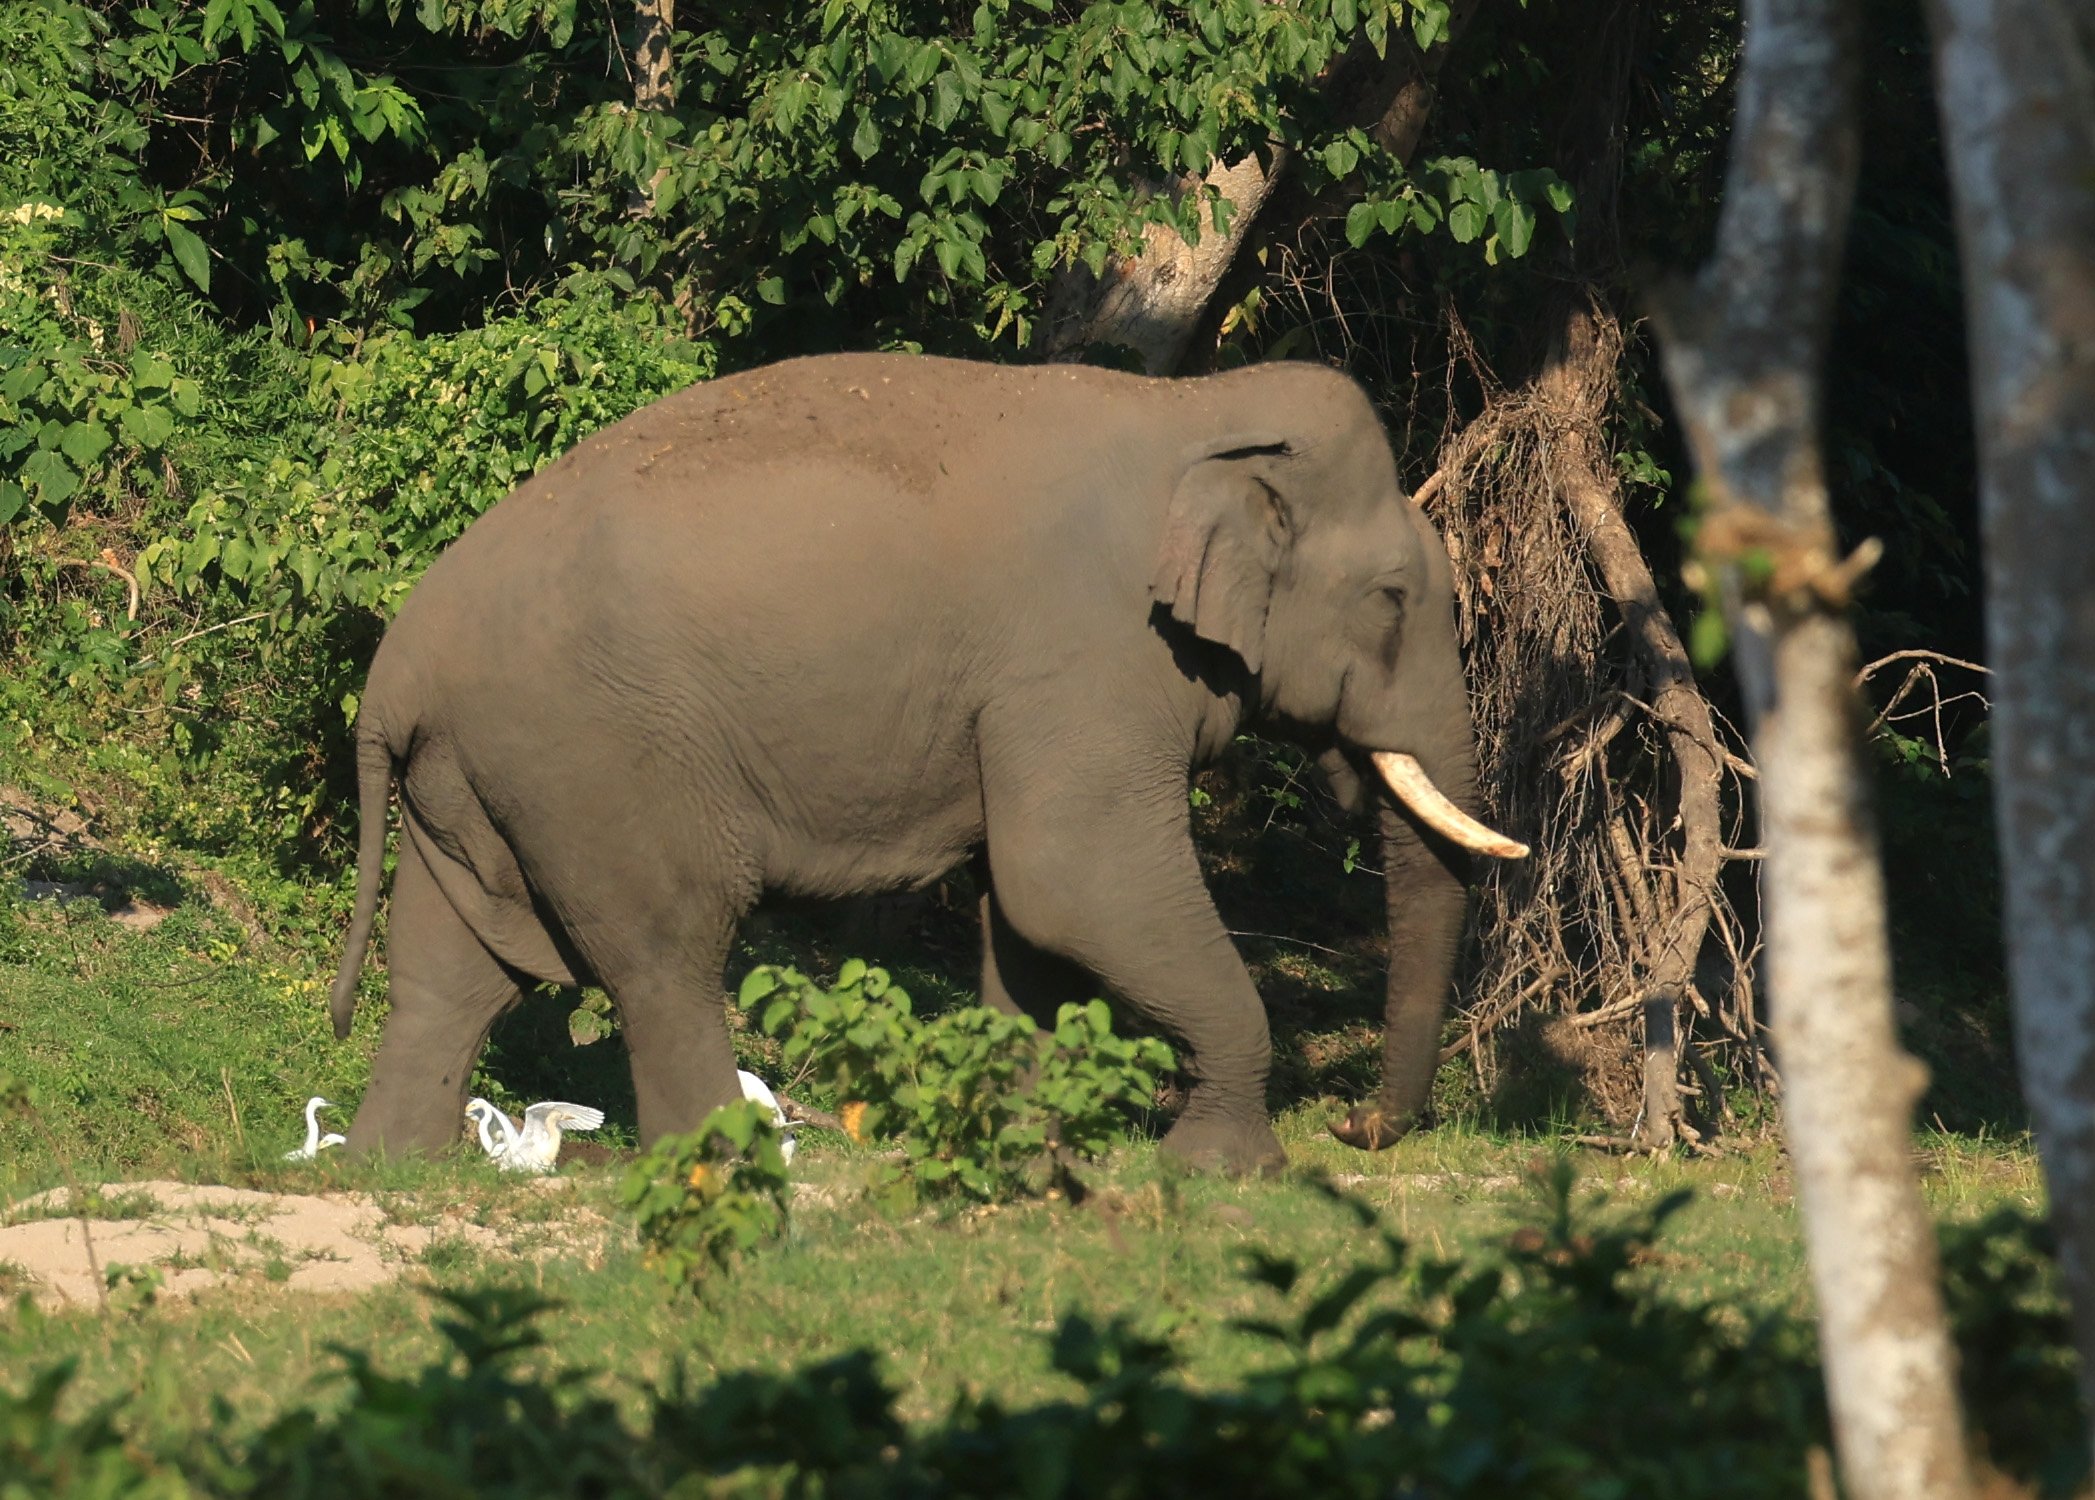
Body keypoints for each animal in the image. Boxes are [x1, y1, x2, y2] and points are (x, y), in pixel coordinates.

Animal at [327, 352, 1526, 1175]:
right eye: (1392, 600)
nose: (1356, 1127)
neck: (1198, 408)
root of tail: (397, 669)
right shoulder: (1087, 657)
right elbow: (1075, 881)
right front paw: (1227, 1172)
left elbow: (1028, 922)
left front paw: (1027, 1152)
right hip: (594, 761)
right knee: (664, 951)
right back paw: (731, 1164)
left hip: (472, 775)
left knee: (452, 962)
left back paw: (397, 1162)